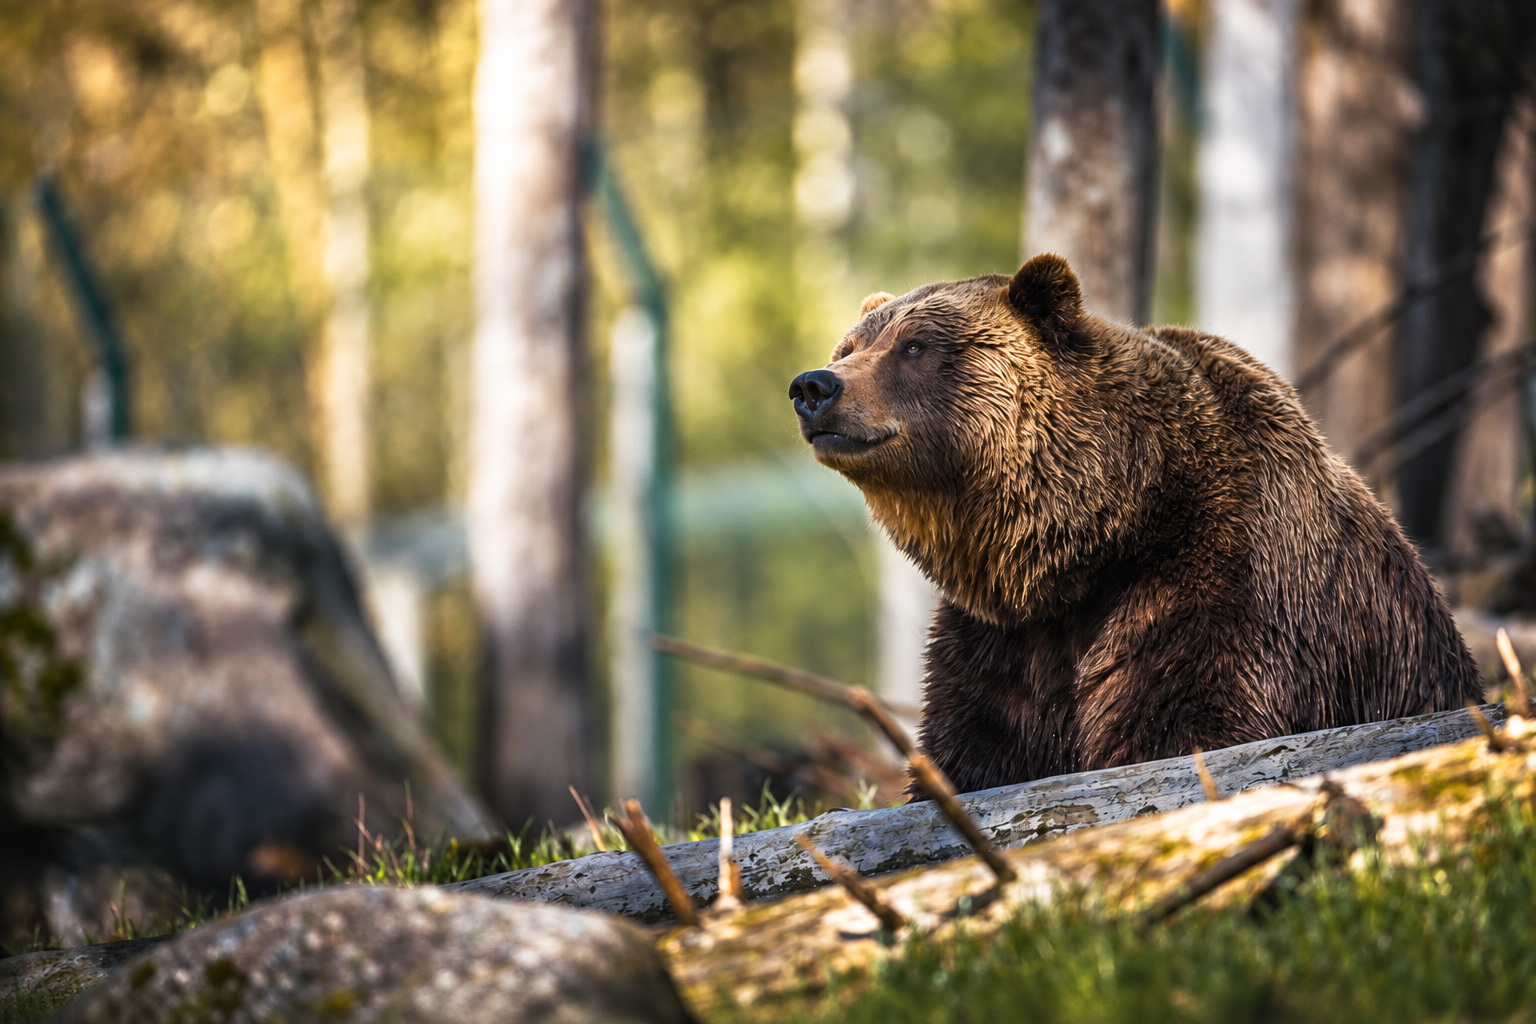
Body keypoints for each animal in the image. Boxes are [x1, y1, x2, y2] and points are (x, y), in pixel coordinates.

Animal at [789, 253, 1483, 794]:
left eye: (915, 346)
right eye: (849, 347)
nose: (813, 386)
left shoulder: (1222, 576)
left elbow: (1184, 724)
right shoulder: (1002, 641)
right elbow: (976, 749)